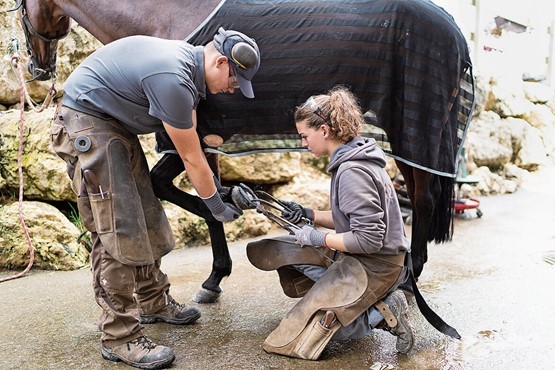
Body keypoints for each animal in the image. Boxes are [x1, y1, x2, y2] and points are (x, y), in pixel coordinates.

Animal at [9, 0, 474, 302]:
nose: (37, 68)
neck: (166, 17)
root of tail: (455, 29)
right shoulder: (204, 138)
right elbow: (200, 191)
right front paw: (220, 264)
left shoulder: (189, 132)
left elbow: (185, 190)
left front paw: (215, 274)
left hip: (414, 132)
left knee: (424, 197)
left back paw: (410, 276)